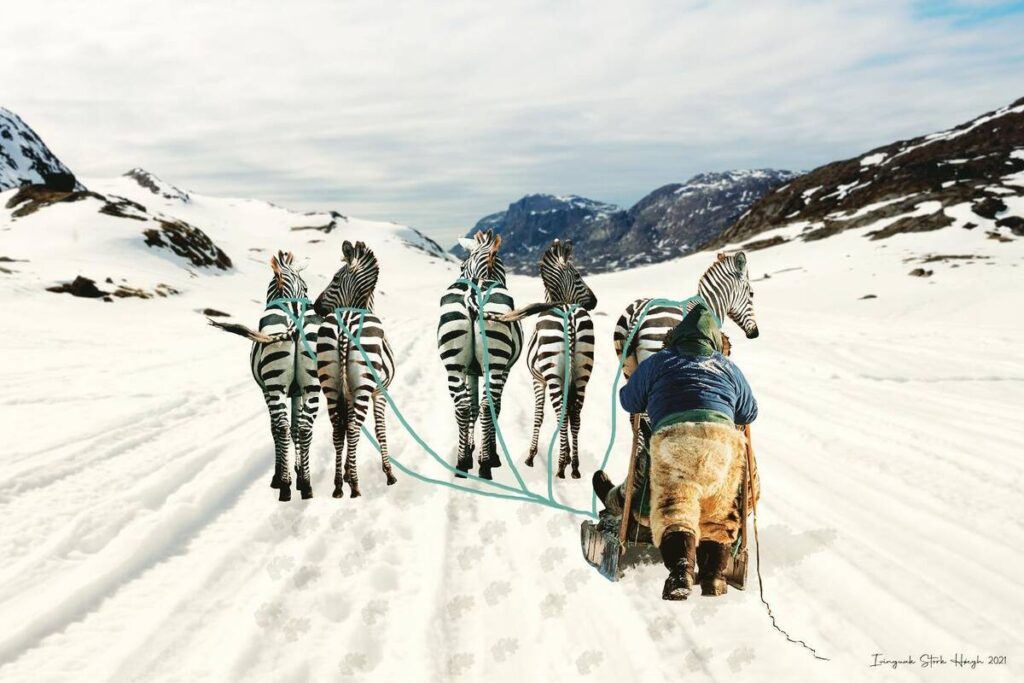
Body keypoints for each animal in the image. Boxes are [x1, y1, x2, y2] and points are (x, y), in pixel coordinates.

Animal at [247, 251, 321, 502]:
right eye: (306, 286)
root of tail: (296, 313)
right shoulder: (298, 391)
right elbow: (296, 428)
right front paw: (298, 471)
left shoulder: (266, 390)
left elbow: (276, 429)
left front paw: (279, 476)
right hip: (313, 385)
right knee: (306, 428)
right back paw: (306, 485)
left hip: (275, 385)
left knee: (280, 427)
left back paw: (285, 486)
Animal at [314, 240, 397, 499]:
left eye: (335, 278)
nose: (314, 306)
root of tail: (344, 325)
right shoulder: (379, 392)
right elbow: (380, 429)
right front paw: (388, 473)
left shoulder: (348, 393)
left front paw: (347, 473)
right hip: (362, 388)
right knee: (353, 427)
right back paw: (357, 488)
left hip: (331, 387)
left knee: (338, 429)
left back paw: (339, 486)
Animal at [437, 230, 523, 480]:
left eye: (461, 265)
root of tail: (472, 294)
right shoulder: (504, 370)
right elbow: (496, 406)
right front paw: (491, 454)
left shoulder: (471, 371)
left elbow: (472, 406)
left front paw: (470, 448)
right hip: (494, 363)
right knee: (488, 406)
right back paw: (485, 464)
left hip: (454, 365)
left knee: (463, 406)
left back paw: (462, 462)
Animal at [494, 240, 597, 479]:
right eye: (578, 275)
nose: (595, 301)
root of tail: (569, 313)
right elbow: (566, 414)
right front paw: (567, 456)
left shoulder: (538, 380)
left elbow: (539, 415)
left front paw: (531, 455)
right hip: (582, 374)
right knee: (575, 415)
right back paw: (574, 467)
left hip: (553, 375)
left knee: (561, 414)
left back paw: (560, 467)